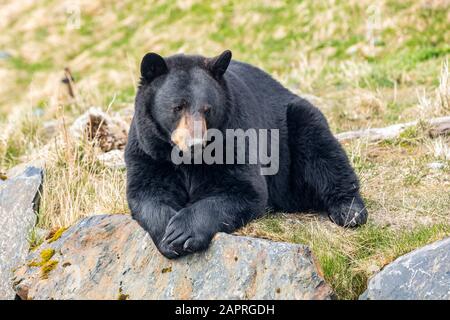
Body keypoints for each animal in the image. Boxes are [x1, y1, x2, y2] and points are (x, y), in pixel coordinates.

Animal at [125, 50, 368, 260]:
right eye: (178, 107)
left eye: (207, 109)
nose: (196, 144)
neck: (187, 160)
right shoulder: (148, 150)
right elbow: (147, 191)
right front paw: (168, 235)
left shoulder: (234, 136)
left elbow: (245, 190)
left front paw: (183, 232)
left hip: (294, 126)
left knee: (322, 151)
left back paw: (349, 210)